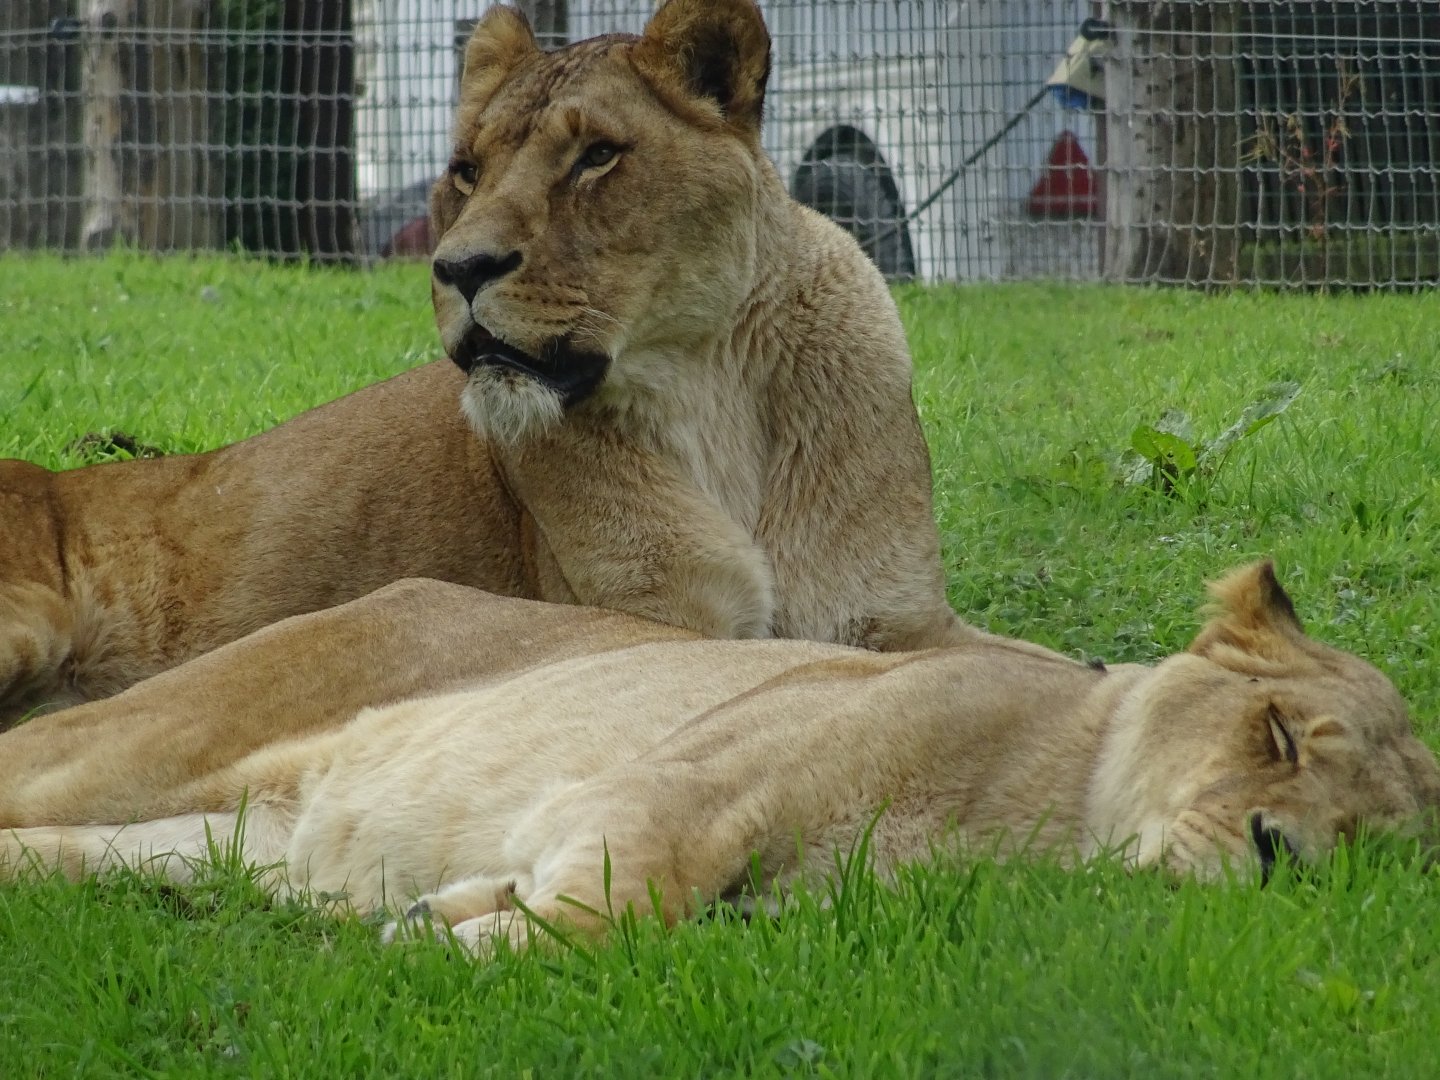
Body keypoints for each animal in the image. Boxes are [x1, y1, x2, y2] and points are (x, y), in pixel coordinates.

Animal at [0, 0, 966, 726]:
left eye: (597, 156)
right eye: (466, 170)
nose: (458, 268)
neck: (712, 392)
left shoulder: (908, 623)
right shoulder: (648, 621)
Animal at [5, 563, 1436, 955]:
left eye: (1363, 847)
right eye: (1275, 737)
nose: (1276, 854)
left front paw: (449, 916)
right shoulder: (680, 786)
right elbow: (629, 904)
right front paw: (465, 941)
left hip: (200, 846)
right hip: (142, 743)